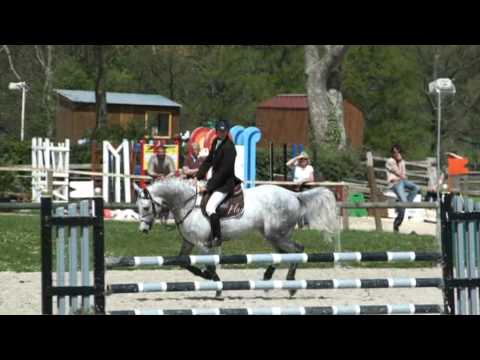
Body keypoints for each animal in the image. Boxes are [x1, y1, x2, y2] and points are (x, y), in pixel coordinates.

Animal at [134, 179, 338, 296]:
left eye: (145, 207)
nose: (143, 229)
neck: (188, 205)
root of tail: (294, 195)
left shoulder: (202, 245)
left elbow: (209, 265)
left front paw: (215, 284)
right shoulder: (189, 242)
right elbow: (184, 263)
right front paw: (206, 276)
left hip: (276, 233)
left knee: (297, 250)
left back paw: (291, 284)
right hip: (273, 235)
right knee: (282, 253)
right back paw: (268, 278)